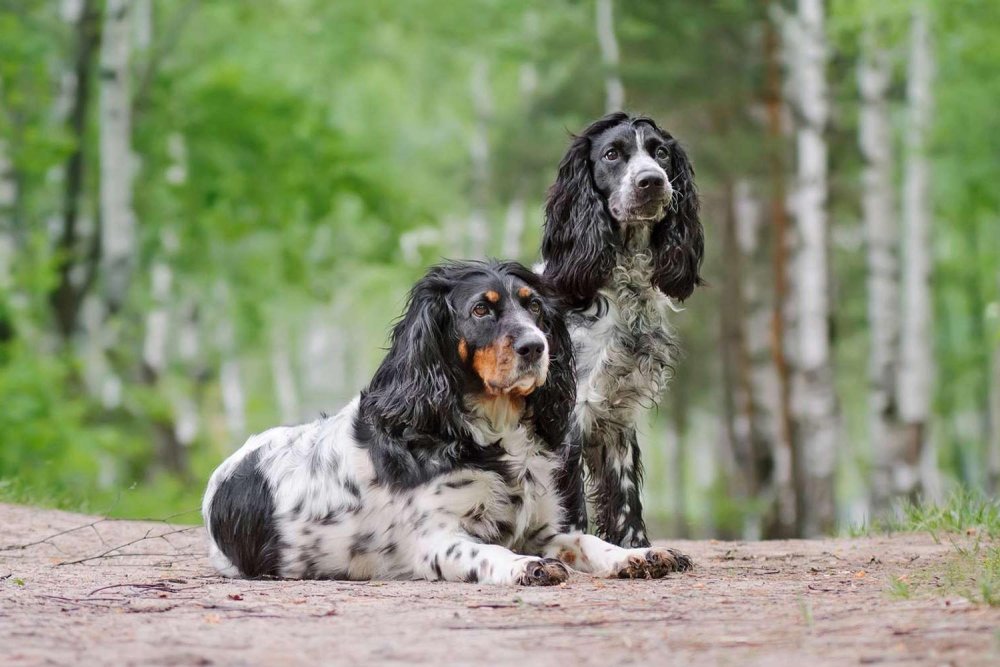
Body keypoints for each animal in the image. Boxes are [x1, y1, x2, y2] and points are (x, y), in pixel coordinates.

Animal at [201, 260, 688, 584]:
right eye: (481, 310)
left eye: (534, 308)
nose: (536, 347)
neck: (491, 437)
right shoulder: (436, 540)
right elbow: (488, 552)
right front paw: (525, 566)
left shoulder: (542, 530)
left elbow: (585, 541)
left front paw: (636, 555)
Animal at [540, 113, 704, 548]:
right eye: (612, 154)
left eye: (660, 152)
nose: (652, 181)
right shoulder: (570, 414)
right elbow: (572, 504)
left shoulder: (617, 415)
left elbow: (626, 497)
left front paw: (638, 551)